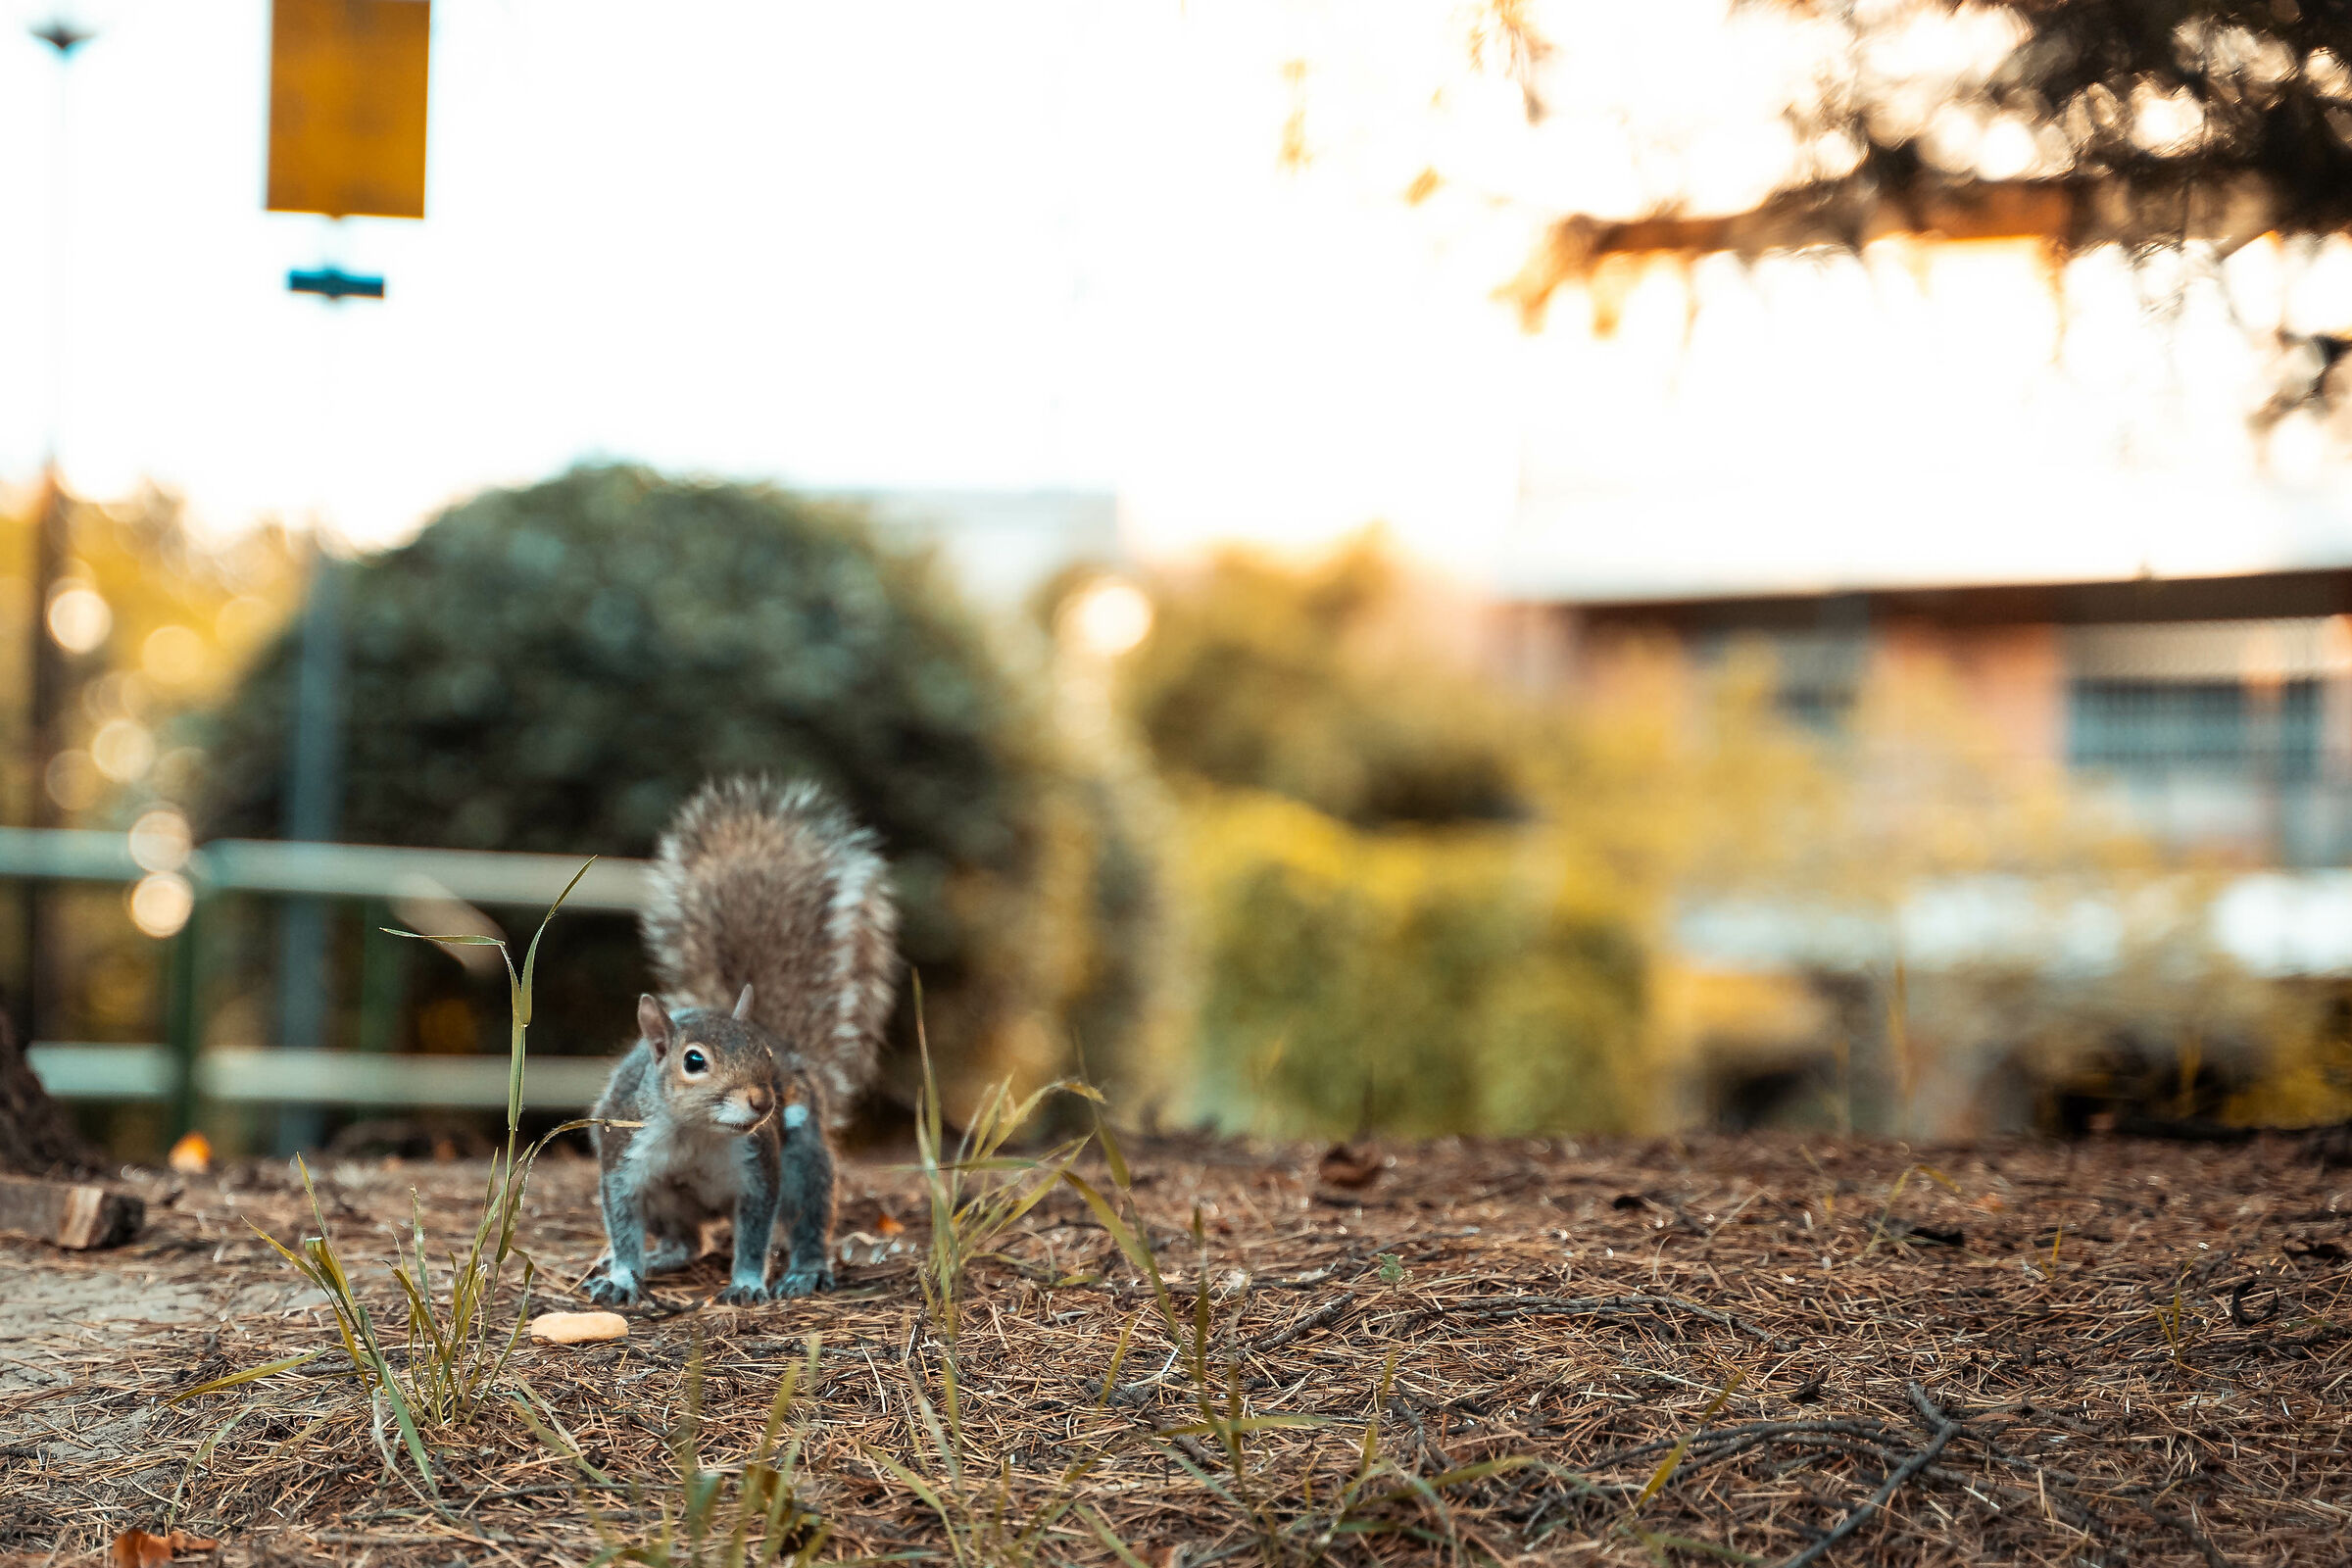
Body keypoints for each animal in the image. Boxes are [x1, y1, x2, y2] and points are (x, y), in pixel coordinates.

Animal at [585, 776, 897, 1306]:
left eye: (762, 1053)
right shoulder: (623, 1160)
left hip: (803, 1162)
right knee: (688, 1242)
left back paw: (806, 1269)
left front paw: (748, 1282)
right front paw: (623, 1275)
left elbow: (754, 1232)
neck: (695, 1133)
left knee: (808, 1217)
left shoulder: (759, 1170)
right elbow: (623, 1225)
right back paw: (657, 1258)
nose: (763, 1101)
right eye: (693, 1061)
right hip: (669, 1202)